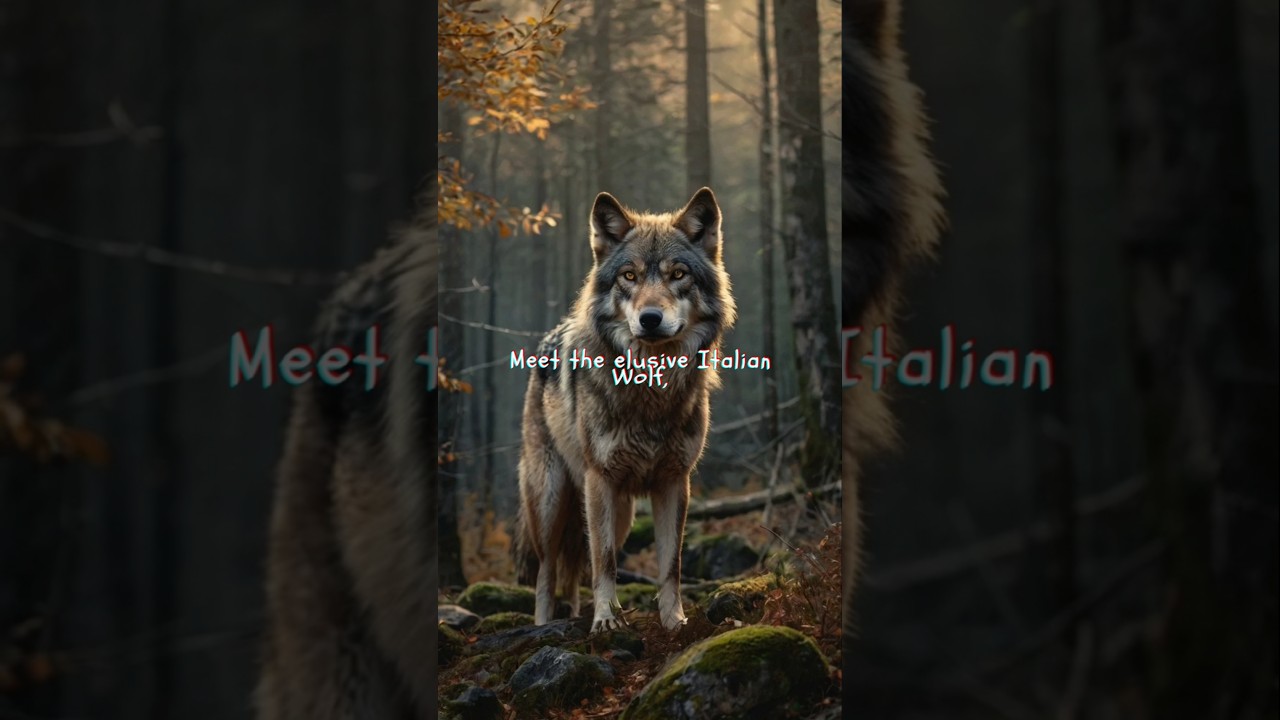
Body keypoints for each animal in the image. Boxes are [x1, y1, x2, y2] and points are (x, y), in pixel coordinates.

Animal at [515, 187, 737, 633]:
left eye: (678, 275)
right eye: (629, 277)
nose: (650, 319)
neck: (650, 389)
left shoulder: (674, 481)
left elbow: (671, 564)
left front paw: (674, 619)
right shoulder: (600, 479)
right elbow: (604, 563)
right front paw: (605, 621)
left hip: (621, 515)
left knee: (576, 566)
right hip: (553, 500)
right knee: (550, 570)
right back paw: (546, 624)